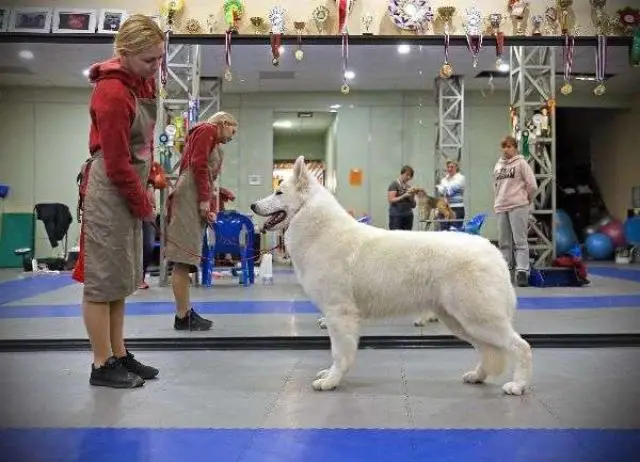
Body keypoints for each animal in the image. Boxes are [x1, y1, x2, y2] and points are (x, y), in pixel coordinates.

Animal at [252, 157, 532, 396]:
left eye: (279, 193)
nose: (252, 205)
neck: (316, 225)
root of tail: (493, 251)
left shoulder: (339, 313)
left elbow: (339, 354)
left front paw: (331, 381)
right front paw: (331, 376)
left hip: (478, 319)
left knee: (521, 347)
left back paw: (517, 386)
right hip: (461, 321)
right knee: (489, 350)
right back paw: (477, 376)